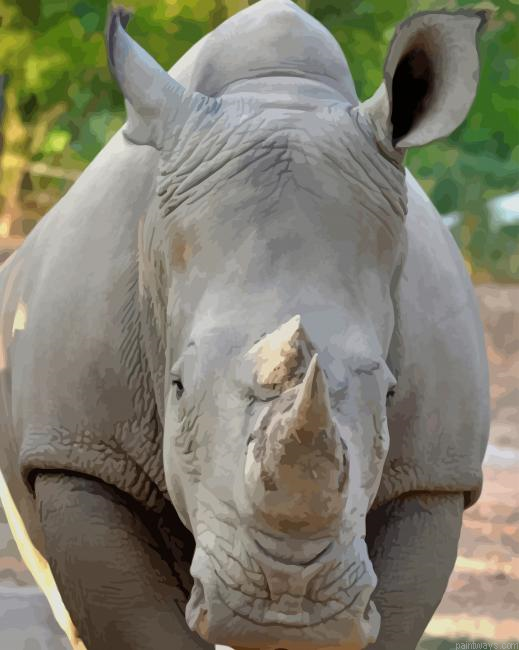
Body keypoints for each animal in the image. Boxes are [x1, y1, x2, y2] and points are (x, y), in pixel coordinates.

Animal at [0, 1, 490, 649]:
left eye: (390, 393)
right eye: (177, 387)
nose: (288, 605)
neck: (277, 92)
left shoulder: (435, 475)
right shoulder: (79, 450)